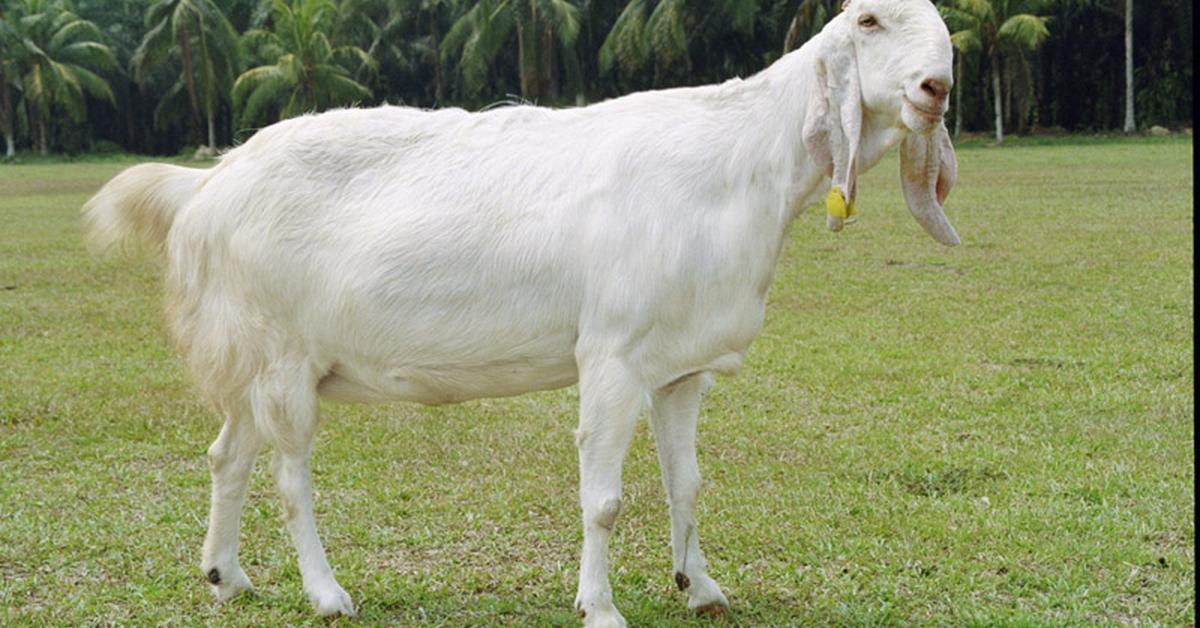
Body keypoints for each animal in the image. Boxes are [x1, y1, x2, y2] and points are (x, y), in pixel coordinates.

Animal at [79, 0, 960, 624]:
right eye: (869, 21)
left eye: (946, 35)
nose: (935, 88)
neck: (735, 163)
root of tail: (208, 181)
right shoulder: (611, 356)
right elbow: (604, 499)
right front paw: (600, 608)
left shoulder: (680, 367)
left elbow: (688, 482)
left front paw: (700, 586)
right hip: (282, 356)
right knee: (290, 476)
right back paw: (326, 594)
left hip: (253, 363)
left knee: (226, 455)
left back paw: (226, 576)